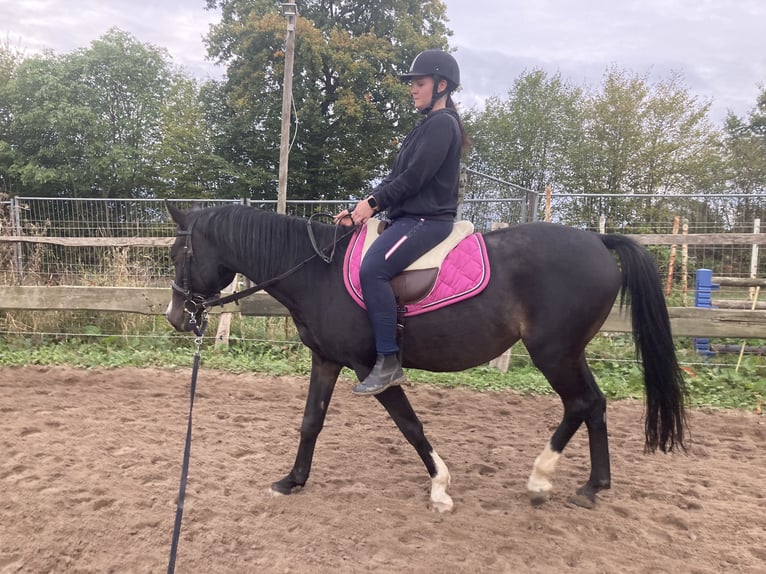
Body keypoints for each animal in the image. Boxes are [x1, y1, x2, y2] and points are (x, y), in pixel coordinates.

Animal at [164, 202, 688, 512]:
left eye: (177, 255)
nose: (175, 316)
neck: (317, 272)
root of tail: (598, 241)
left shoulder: (370, 369)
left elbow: (409, 425)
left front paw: (440, 487)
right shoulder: (326, 360)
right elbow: (311, 421)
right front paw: (292, 480)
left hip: (555, 353)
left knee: (580, 404)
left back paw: (540, 481)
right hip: (569, 353)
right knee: (595, 405)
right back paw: (594, 486)